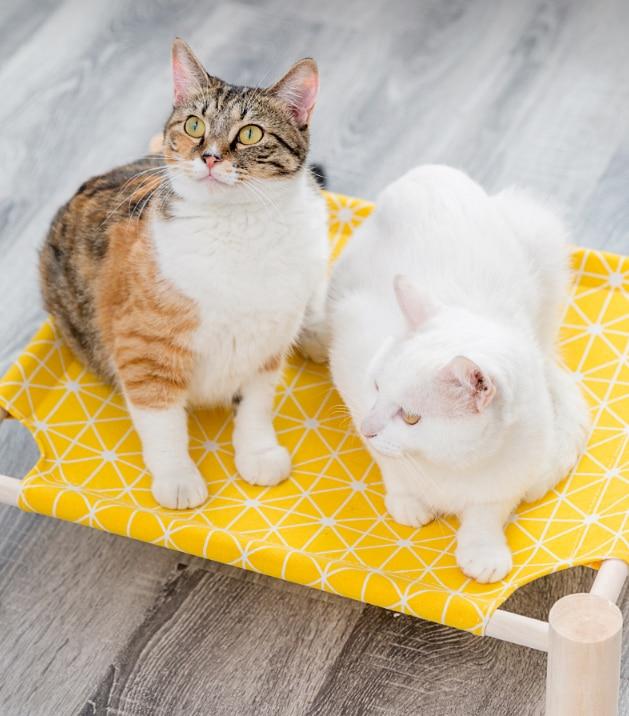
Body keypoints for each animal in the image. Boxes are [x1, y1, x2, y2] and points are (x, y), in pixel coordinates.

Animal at [39, 37, 328, 510]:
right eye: (194, 125)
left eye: (250, 133)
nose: (209, 156)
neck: (237, 230)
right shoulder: (143, 347)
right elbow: (162, 418)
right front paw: (177, 477)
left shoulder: (266, 344)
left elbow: (256, 405)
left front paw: (257, 452)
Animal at [324, 166, 588, 580]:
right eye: (376, 386)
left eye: (411, 417)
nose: (367, 428)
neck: (450, 467)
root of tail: (433, 171)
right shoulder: (350, 356)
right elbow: (388, 462)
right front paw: (407, 498)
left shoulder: (515, 470)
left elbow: (489, 509)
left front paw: (483, 550)